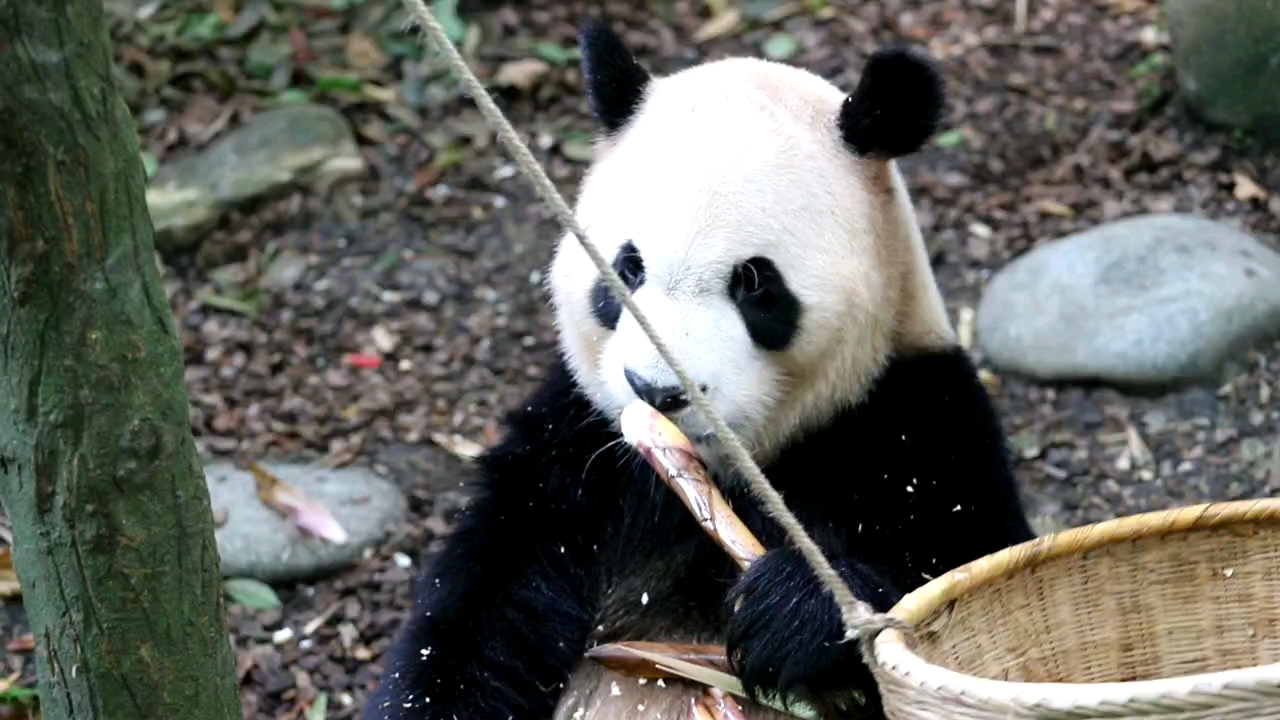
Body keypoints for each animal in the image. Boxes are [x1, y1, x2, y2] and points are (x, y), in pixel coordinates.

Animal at [363, 16, 1039, 717]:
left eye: (755, 284)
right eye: (627, 267)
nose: (656, 391)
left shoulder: (915, 418)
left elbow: (965, 572)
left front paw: (795, 608)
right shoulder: (574, 447)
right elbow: (482, 606)